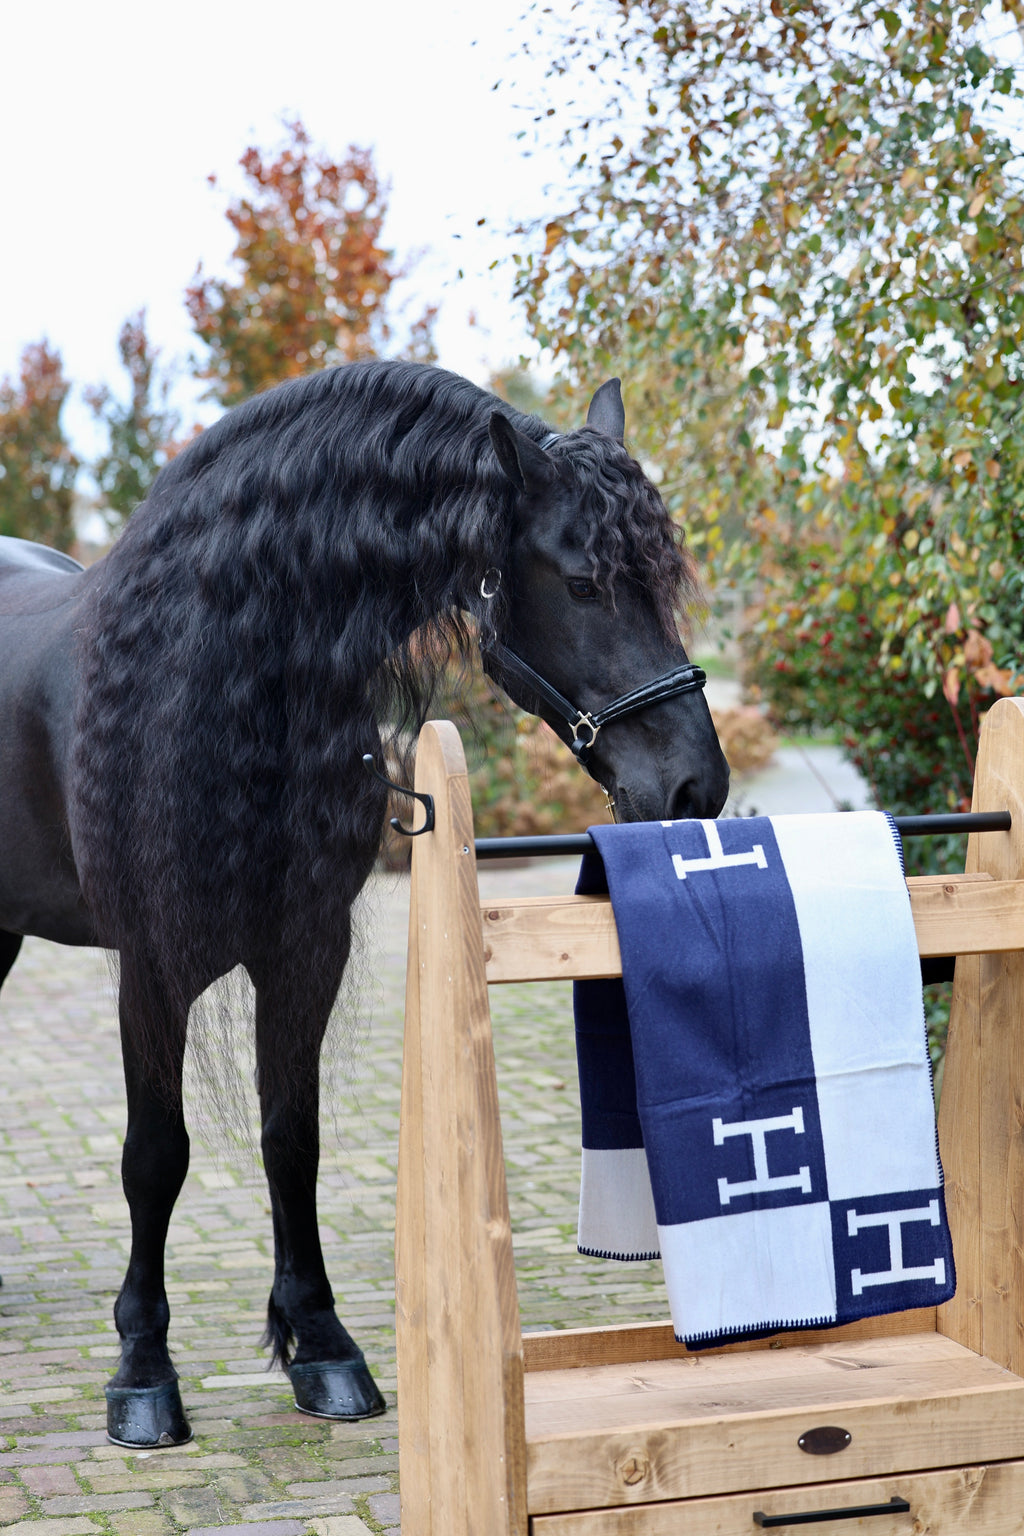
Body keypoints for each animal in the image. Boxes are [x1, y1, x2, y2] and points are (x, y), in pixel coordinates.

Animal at [0, 359, 730, 1448]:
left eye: (664, 578)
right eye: (585, 582)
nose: (695, 788)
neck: (207, 677)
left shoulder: (309, 950)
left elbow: (290, 1141)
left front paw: (323, 1347)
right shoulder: (152, 966)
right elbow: (155, 1157)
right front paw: (142, 1373)